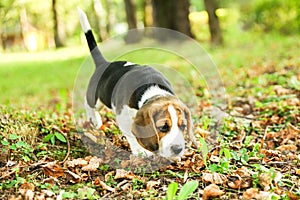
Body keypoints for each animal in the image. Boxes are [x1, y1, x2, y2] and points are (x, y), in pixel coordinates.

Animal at [77, 8, 197, 161]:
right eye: (163, 127)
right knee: (88, 104)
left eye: (183, 126)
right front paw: (140, 151)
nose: (178, 149)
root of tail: (103, 64)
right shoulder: (122, 115)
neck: (152, 90)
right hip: (97, 99)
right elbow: (131, 133)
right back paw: (95, 120)